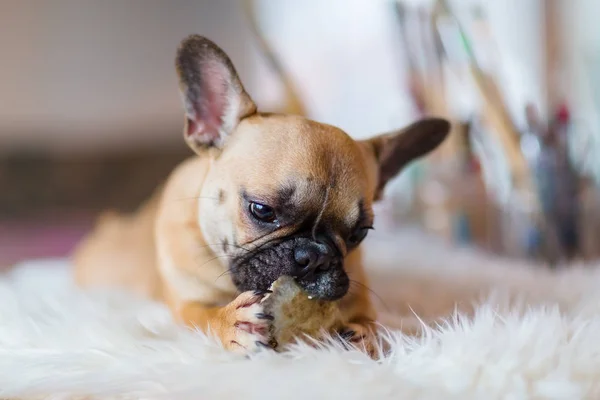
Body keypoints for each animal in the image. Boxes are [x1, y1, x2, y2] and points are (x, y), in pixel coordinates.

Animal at [72, 34, 450, 354]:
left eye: (359, 233)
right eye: (262, 210)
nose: (316, 257)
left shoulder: (358, 294)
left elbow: (368, 317)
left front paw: (363, 334)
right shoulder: (184, 304)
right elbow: (201, 316)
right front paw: (230, 322)